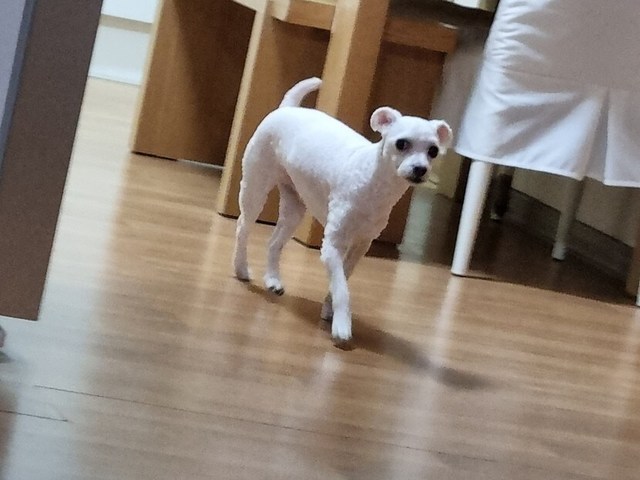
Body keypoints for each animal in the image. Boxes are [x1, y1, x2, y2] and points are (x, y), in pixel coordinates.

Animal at [233, 77, 452, 343]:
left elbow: (342, 281)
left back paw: (273, 279)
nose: (421, 169)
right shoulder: (332, 247)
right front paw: (342, 324)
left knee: (274, 243)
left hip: (295, 208)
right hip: (255, 189)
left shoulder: (359, 247)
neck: (375, 184)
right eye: (401, 144)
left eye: (433, 151)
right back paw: (241, 269)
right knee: (242, 228)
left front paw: (329, 310)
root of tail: (287, 107)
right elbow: (342, 289)